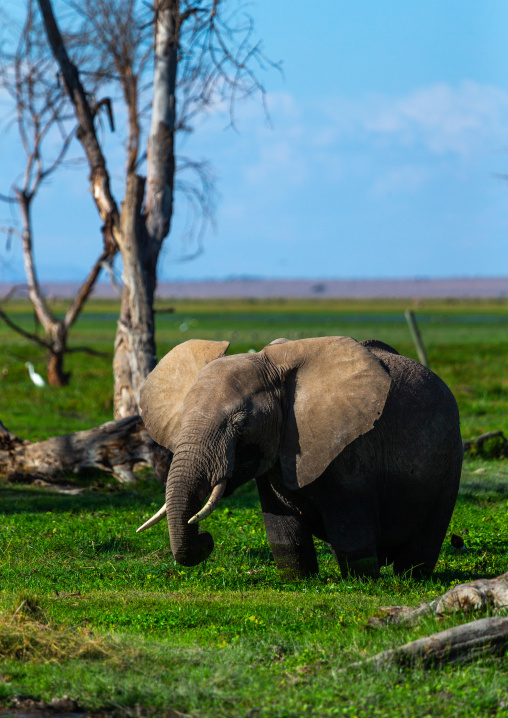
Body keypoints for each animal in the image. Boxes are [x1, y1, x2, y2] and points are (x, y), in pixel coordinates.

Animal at [136, 336, 463, 580]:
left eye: (241, 424)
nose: (207, 540)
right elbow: (281, 526)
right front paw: (298, 580)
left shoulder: (349, 446)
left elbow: (351, 527)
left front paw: (361, 581)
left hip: (449, 459)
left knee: (424, 541)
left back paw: (409, 576)